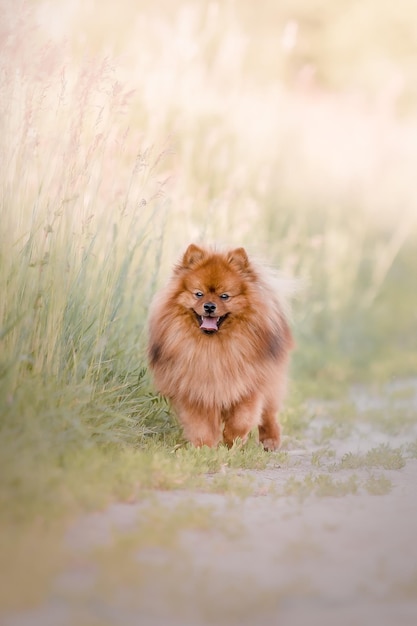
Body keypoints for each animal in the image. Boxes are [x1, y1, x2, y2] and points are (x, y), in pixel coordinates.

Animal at [146, 243, 292, 448]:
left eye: (224, 296)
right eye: (198, 294)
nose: (209, 306)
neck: (214, 348)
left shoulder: (248, 386)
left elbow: (241, 421)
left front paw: (232, 442)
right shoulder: (194, 390)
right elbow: (200, 426)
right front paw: (204, 448)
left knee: (269, 413)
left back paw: (270, 440)